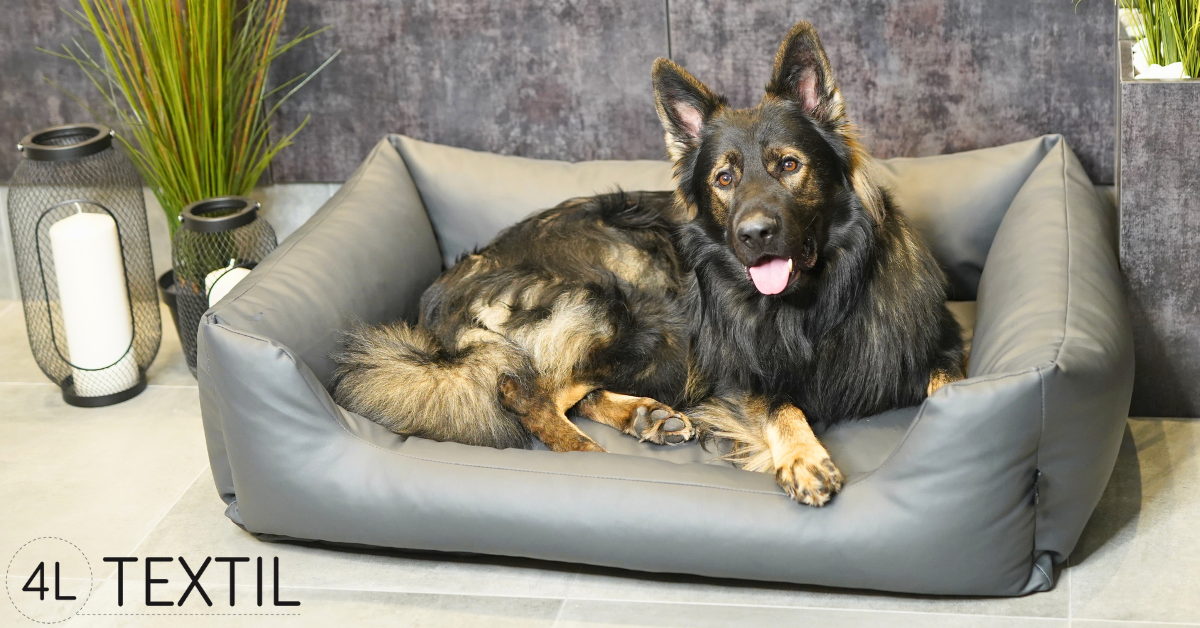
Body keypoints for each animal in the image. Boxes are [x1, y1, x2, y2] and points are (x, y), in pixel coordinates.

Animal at [331, 22, 965, 506]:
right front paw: (804, 457)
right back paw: (589, 456)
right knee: (526, 389)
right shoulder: (736, 372)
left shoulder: (941, 342)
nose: (753, 235)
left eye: (788, 165)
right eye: (724, 178)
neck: (814, 301)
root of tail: (450, 285)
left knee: (569, 387)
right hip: (634, 308)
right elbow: (780, 404)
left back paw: (645, 418)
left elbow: (947, 384)